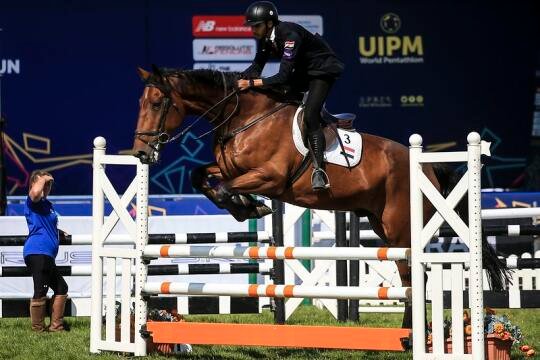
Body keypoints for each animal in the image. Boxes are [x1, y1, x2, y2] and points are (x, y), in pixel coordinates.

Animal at [133, 66, 508, 334]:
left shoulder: (271, 177)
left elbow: (226, 188)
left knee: (414, 277)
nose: (140, 153)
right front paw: (247, 206)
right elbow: (202, 177)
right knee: (409, 278)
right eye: (142, 103)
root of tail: (427, 167)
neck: (244, 119)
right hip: (381, 226)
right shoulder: (228, 168)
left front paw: (249, 207)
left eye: (157, 103)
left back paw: (411, 334)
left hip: (401, 230)